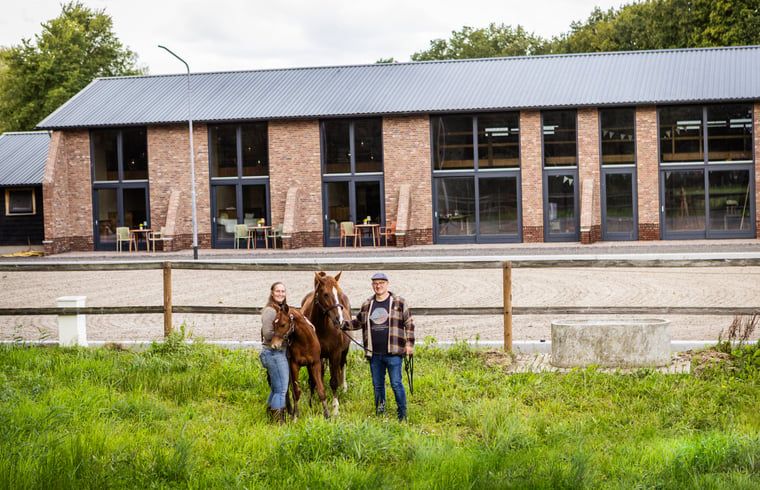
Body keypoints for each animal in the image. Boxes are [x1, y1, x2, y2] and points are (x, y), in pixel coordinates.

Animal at [301, 271, 352, 417]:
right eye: (325, 294)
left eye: (338, 294)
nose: (340, 320)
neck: (321, 326)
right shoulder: (313, 356)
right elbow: (313, 380)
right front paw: (311, 403)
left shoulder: (335, 353)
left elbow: (334, 381)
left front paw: (335, 408)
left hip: (344, 351)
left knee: (343, 364)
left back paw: (343, 387)